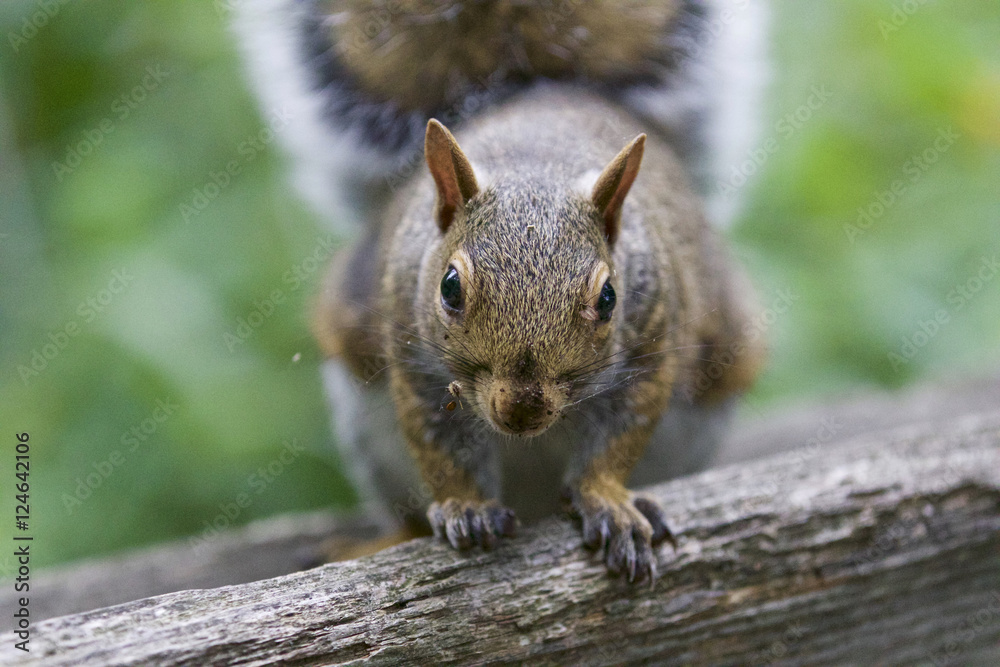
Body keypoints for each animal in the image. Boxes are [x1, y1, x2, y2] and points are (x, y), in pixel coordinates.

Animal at [236, 0, 769, 581]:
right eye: (449, 288)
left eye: (608, 298)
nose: (522, 409)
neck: (537, 166)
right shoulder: (415, 364)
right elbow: (440, 449)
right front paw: (466, 507)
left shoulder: (652, 342)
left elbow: (617, 443)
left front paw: (608, 501)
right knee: (409, 513)